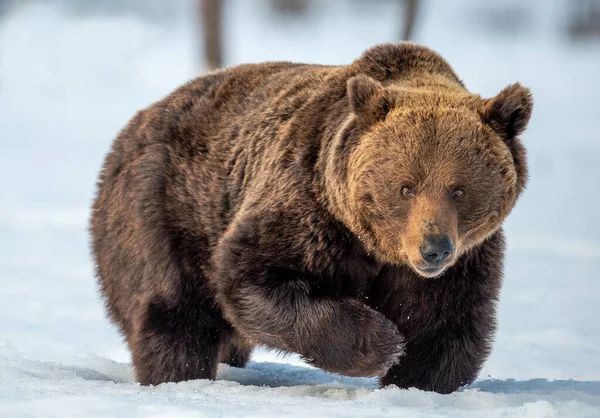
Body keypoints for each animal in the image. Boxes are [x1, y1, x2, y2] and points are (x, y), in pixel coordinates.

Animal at [89, 43, 528, 396]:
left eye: (459, 189)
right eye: (406, 187)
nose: (433, 249)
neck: (376, 247)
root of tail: (135, 122)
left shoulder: (463, 259)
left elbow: (444, 325)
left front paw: (416, 382)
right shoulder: (310, 205)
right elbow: (253, 274)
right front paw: (383, 343)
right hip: (165, 209)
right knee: (173, 315)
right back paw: (179, 377)